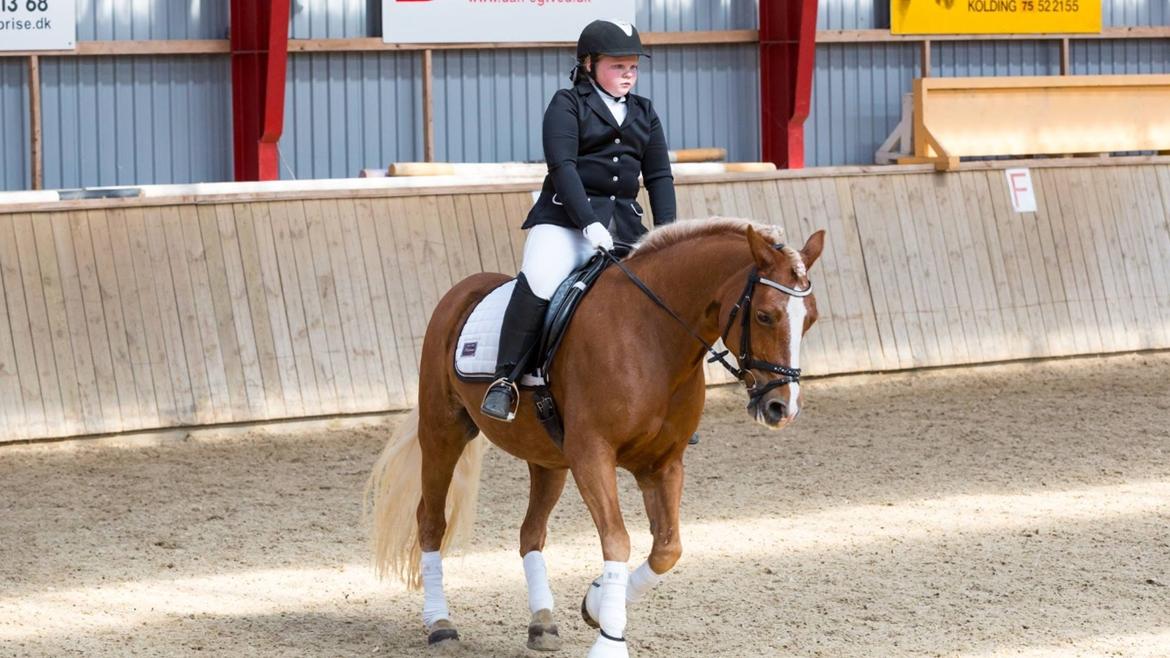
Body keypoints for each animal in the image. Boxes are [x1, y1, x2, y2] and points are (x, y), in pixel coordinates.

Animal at [369, 217, 828, 650]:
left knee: (531, 532)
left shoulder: (663, 463)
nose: (782, 408)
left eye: (811, 319)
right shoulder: (592, 455)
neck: (654, 336)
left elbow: (667, 549)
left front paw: (595, 604)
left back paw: (542, 623)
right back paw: (440, 625)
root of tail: (462, 290)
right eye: (765, 315)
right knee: (431, 521)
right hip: (442, 432)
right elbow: (617, 541)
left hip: (547, 459)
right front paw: (609, 641)